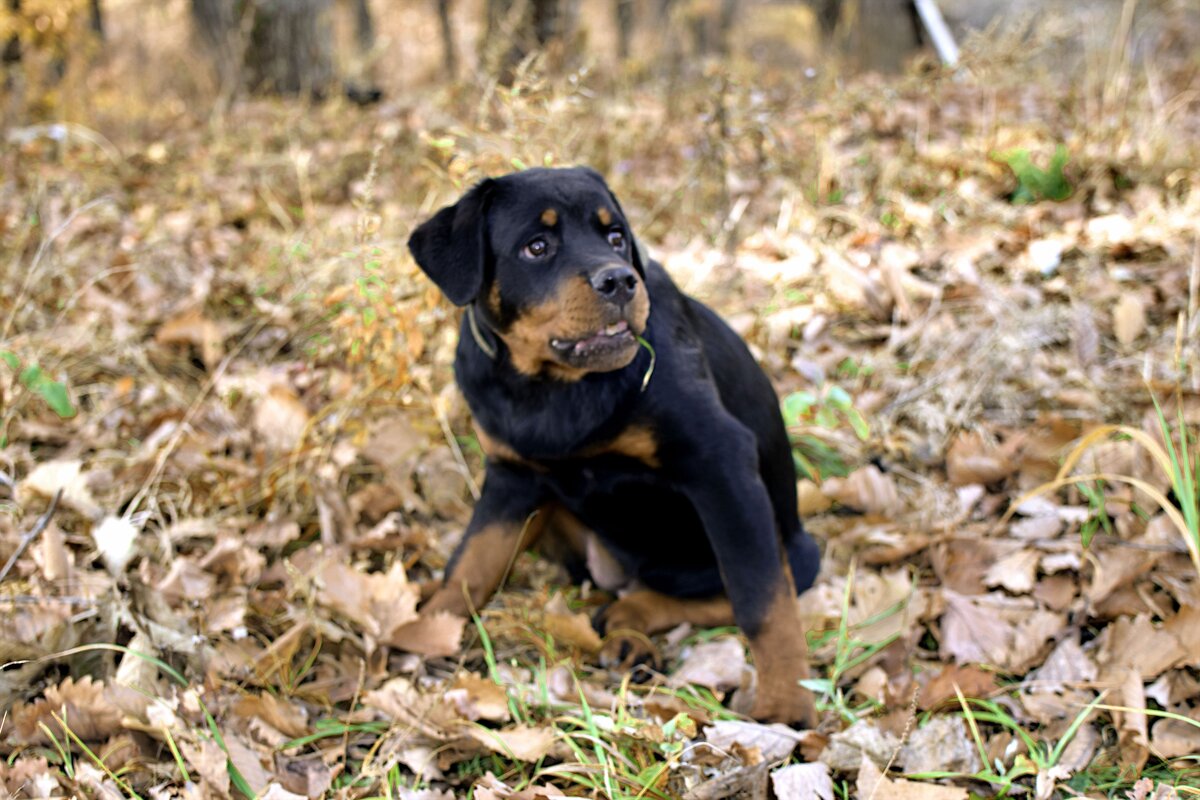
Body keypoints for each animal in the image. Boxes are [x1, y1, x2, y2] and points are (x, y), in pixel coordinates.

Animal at [408, 164, 820, 724]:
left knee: (722, 589)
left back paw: (629, 625)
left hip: (793, 549)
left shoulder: (722, 464)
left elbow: (761, 599)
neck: (555, 387)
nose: (621, 280)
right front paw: (429, 625)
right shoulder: (512, 476)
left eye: (616, 237)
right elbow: (474, 558)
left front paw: (785, 707)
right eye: (536, 246)